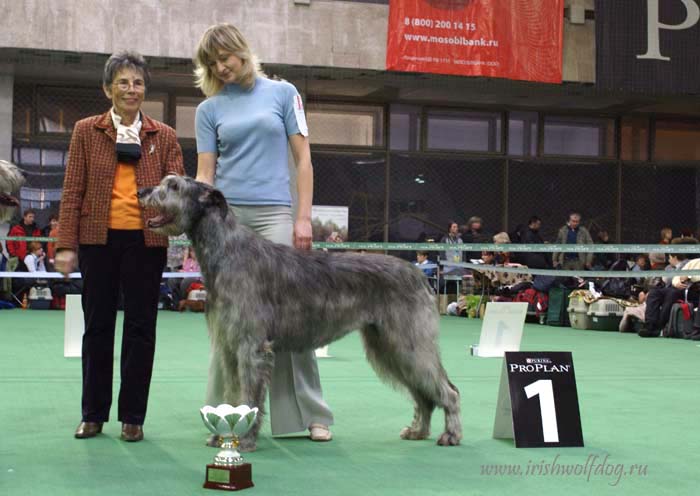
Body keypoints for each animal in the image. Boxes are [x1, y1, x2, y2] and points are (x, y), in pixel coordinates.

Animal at [139, 174, 462, 450]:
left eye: (173, 186)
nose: (142, 191)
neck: (228, 252)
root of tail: (418, 274)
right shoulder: (230, 347)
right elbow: (232, 394)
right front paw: (224, 437)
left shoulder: (251, 346)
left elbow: (249, 396)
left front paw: (244, 441)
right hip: (388, 345)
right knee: (424, 394)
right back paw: (418, 430)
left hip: (408, 342)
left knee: (447, 390)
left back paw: (451, 434)